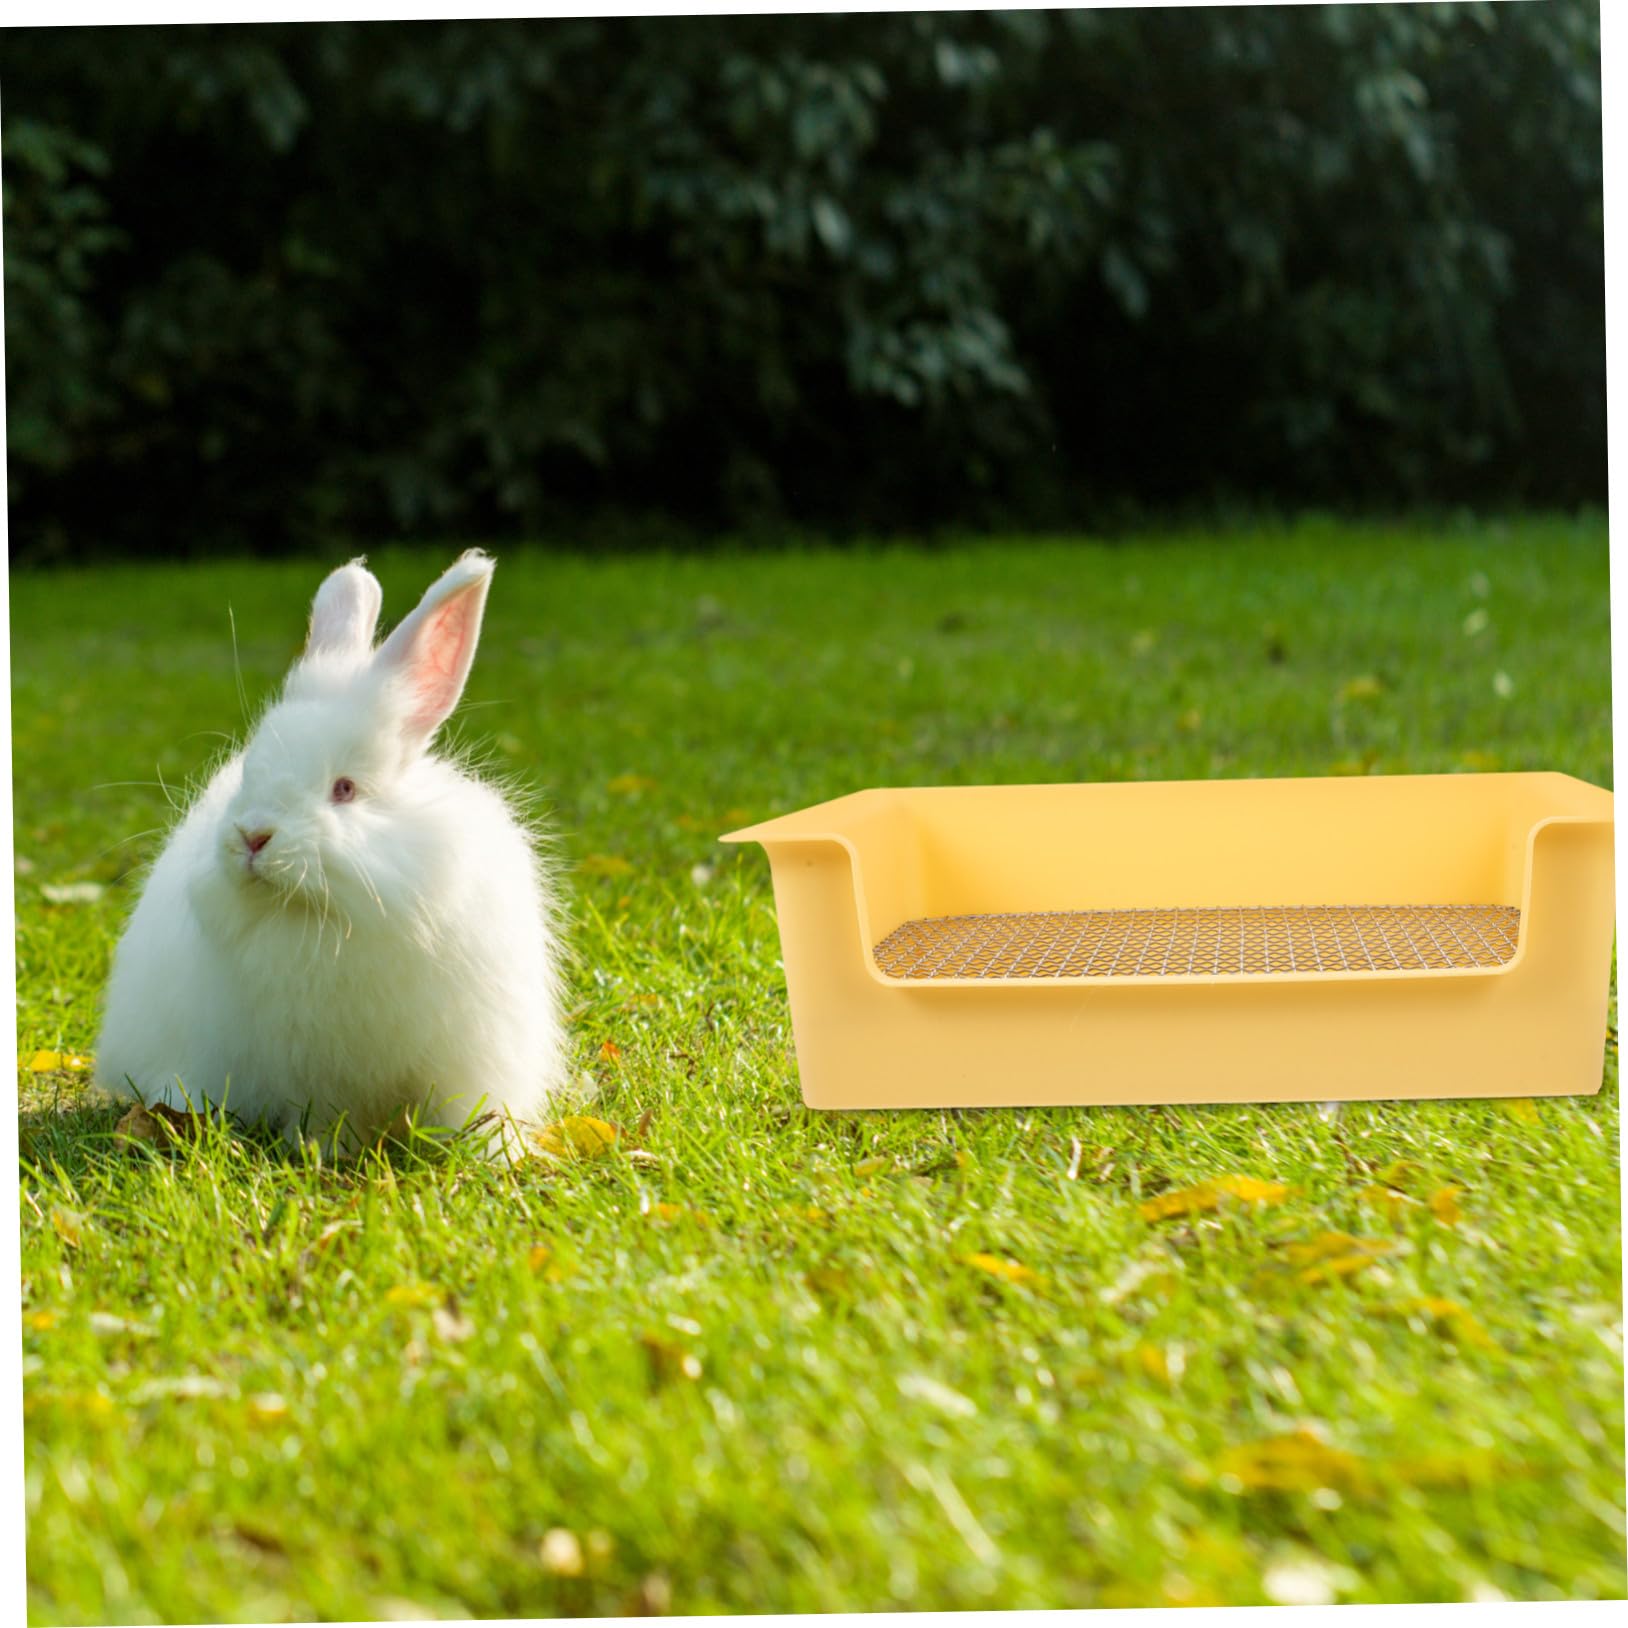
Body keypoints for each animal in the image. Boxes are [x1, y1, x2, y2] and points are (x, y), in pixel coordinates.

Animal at [95, 550, 566, 1156]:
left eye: (344, 789)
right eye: (248, 774)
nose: (253, 836)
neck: (328, 916)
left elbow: (466, 1113)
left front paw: (488, 1153)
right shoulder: (311, 1073)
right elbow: (323, 1118)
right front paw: (320, 1152)